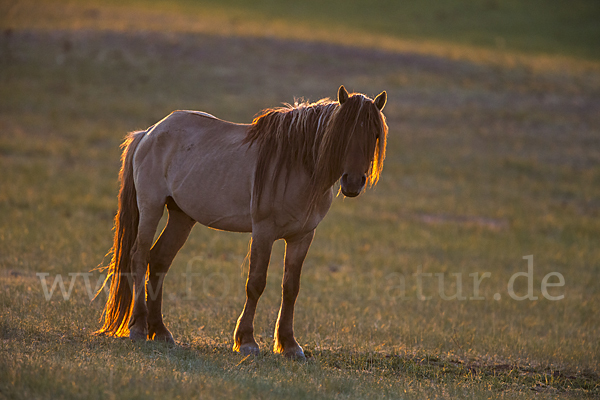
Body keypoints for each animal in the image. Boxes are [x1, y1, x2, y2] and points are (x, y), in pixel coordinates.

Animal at [95, 85, 390, 360]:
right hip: (151, 207)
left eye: (375, 135)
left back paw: (161, 331)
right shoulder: (263, 232)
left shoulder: (302, 236)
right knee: (139, 256)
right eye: (341, 133)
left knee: (158, 261)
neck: (298, 165)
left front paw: (289, 345)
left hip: (181, 216)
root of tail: (149, 132)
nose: (353, 182)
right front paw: (246, 341)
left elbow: (290, 288)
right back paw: (139, 327)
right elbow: (256, 283)